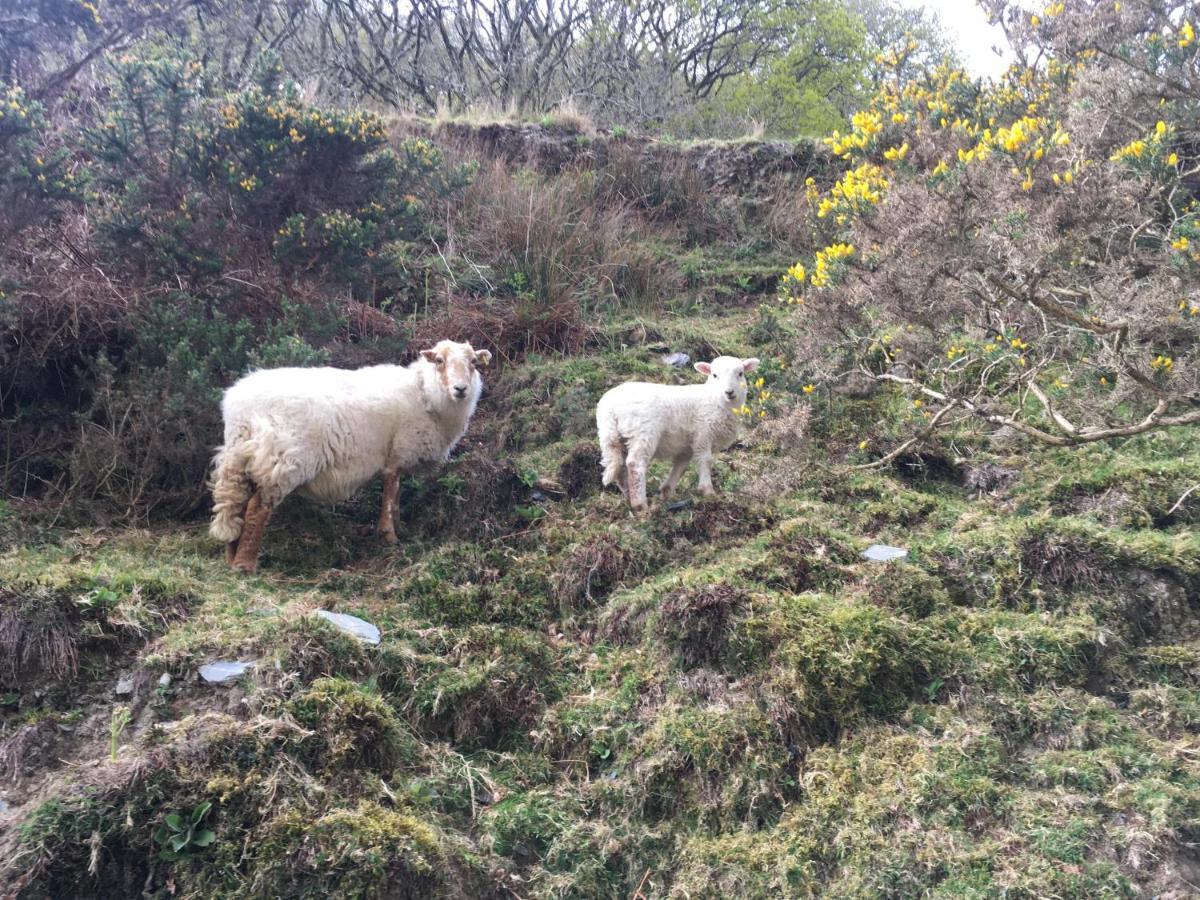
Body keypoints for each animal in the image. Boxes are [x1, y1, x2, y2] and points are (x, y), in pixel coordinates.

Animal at [208, 340, 489, 573]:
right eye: (439, 361)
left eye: (473, 363)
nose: (461, 389)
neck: (424, 394)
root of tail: (239, 406)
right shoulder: (397, 453)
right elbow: (390, 495)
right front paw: (389, 536)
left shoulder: (396, 457)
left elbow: (396, 497)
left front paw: (399, 528)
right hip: (282, 458)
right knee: (257, 507)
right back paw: (246, 565)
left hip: (240, 456)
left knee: (237, 504)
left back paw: (231, 558)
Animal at [597, 360, 758, 513]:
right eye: (714, 375)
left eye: (740, 373)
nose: (729, 392)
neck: (713, 399)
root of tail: (609, 408)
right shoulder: (703, 433)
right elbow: (705, 460)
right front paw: (707, 490)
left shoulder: (687, 445)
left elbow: (680, 466)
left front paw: (666, 492)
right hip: (642, 432)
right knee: (634, 464)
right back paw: (640, 504)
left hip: (612, 437)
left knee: (619, 465)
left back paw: (628, 495)